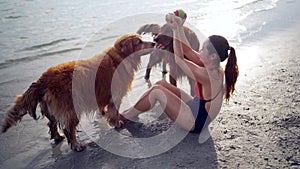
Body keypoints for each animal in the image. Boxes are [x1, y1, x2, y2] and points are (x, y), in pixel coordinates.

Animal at [2, 33, 155, 151]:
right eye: (139, 42)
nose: (154, 43)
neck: (119, 58)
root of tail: (43, 79)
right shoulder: (115, 96)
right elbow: (114, 112)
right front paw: (117, 123)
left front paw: (104, 113)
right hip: (71, 109)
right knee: (69, 129)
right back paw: (76, 145)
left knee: (52, 124)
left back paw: (58, 137)